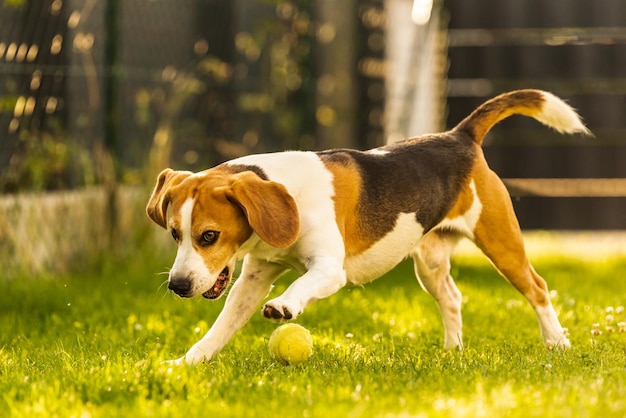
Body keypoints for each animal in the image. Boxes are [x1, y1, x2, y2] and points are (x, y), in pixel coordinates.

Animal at [149, 90, 588, 364]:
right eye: (175, 234)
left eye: (209, 236)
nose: (178, 286)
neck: (288, 189)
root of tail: (458, 135)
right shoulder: (252, 280)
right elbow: (220, 328)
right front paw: (187, 362)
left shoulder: (330, 269)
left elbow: (301, 284)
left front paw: (284, 305)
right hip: (429, 263)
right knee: (452, 298)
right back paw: (452, 351)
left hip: (501, 243)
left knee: (538, 288)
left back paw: (558, 344)